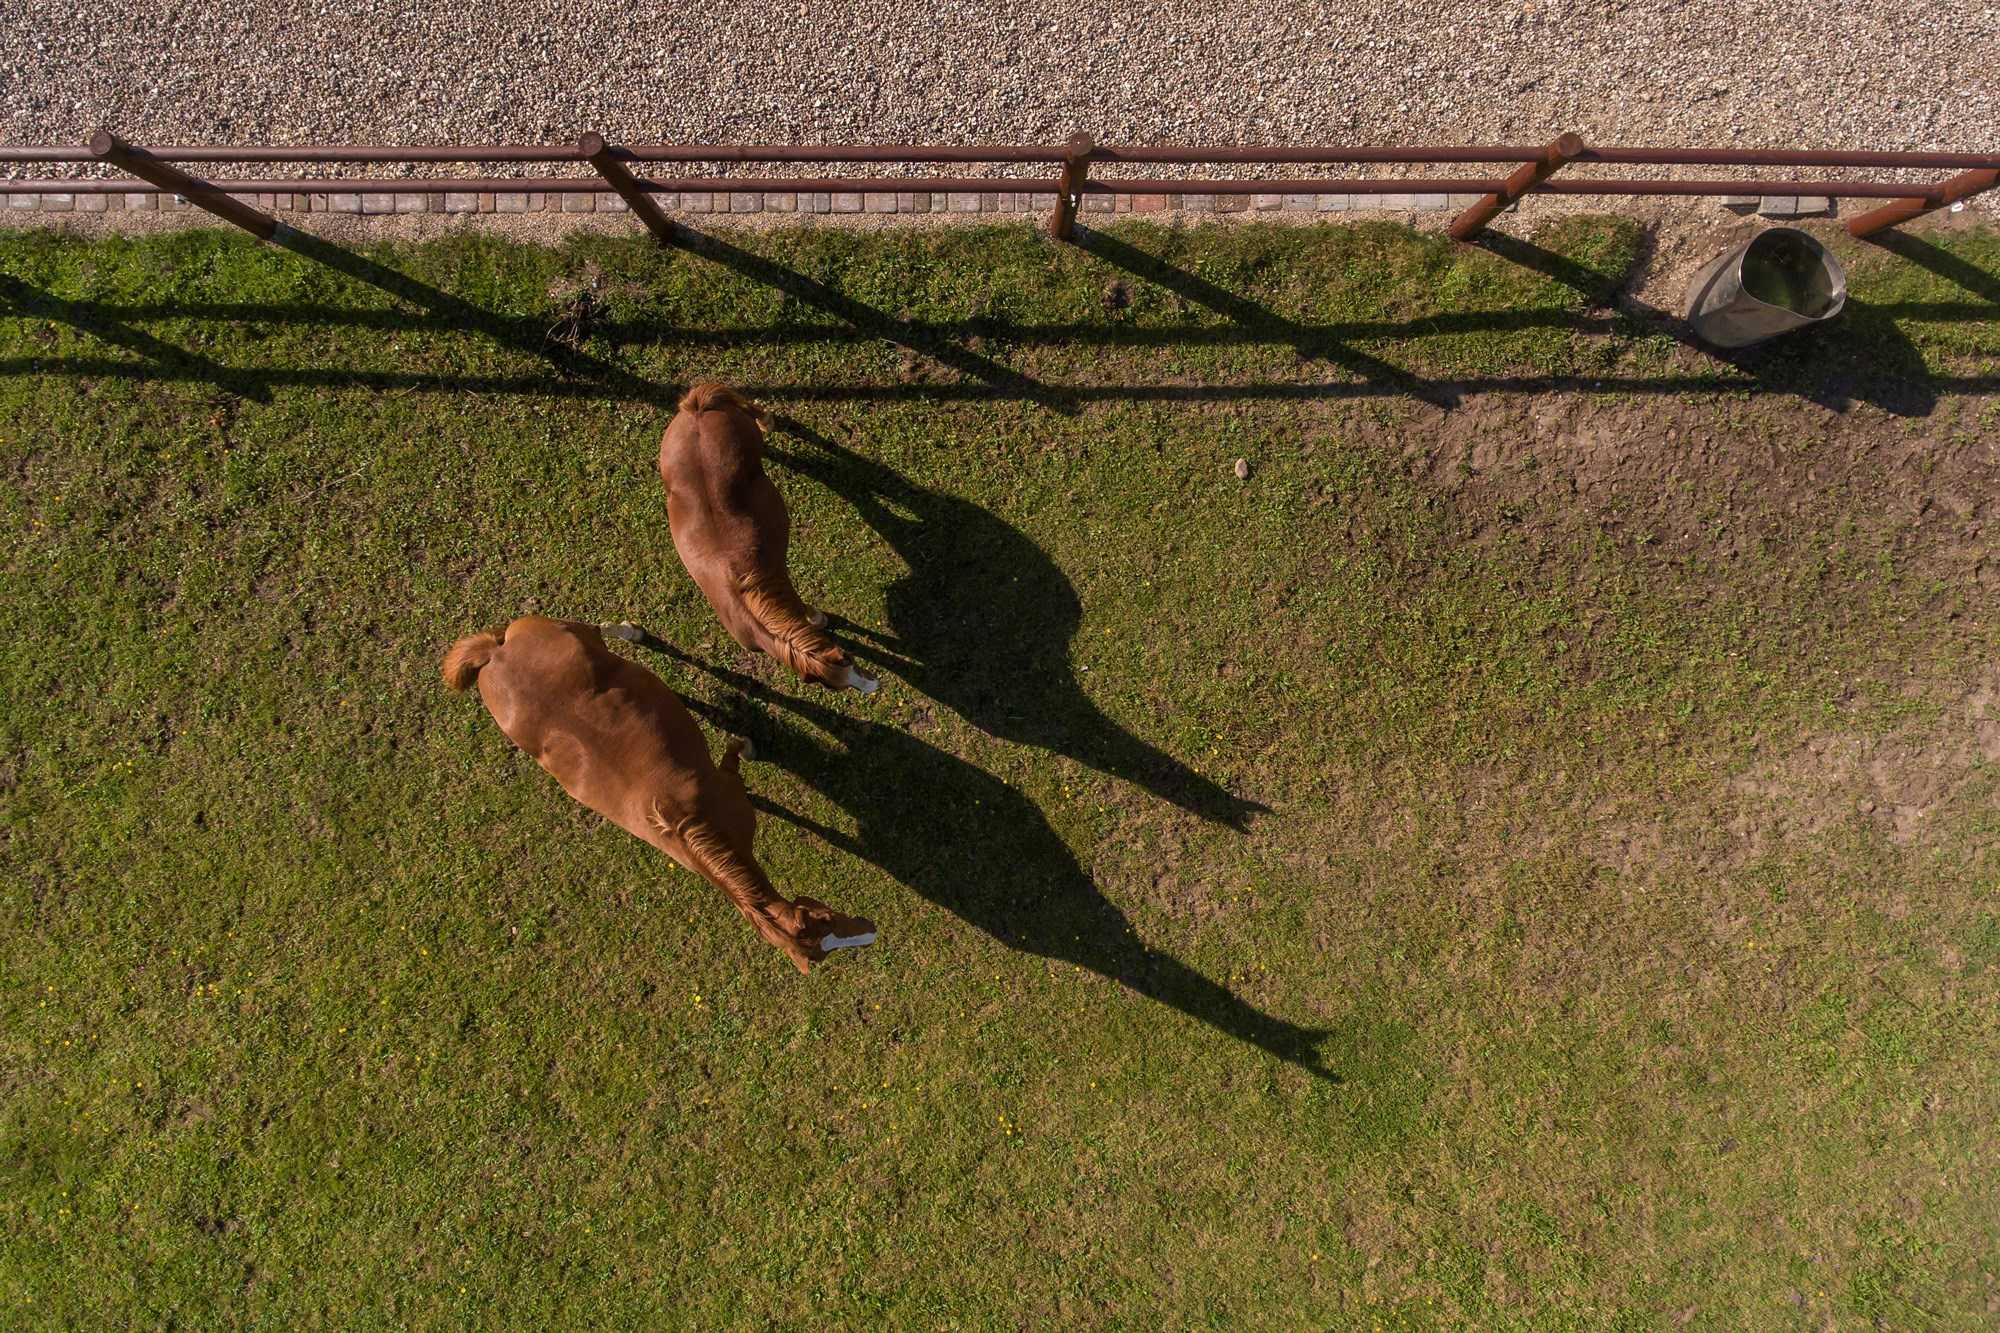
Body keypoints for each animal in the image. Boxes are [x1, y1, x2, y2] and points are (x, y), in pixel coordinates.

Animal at [438, 616, 876, 972]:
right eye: (825, 925)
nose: (871, 931)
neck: (691, 826)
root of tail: (496, 654)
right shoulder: (726, 781)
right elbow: (736, 753)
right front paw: (751, 746)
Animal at [660, 378, 880, 688]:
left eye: (851, 661)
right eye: (835, 684)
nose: (874, 687)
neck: (746, 608)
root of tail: (697, 410)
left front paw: (817, 618)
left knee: (750, 408)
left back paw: (767, 421)